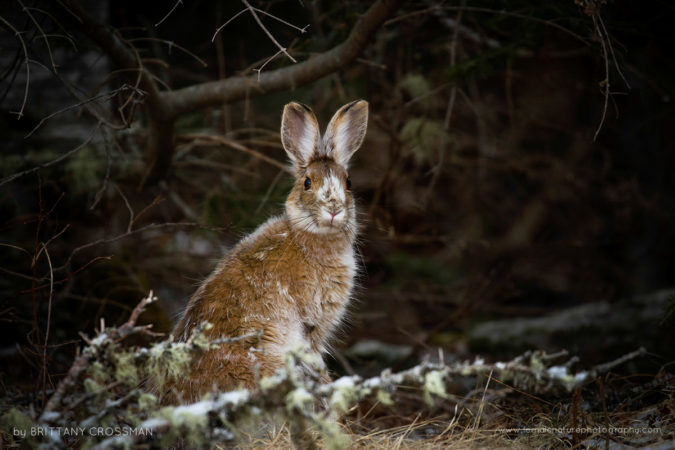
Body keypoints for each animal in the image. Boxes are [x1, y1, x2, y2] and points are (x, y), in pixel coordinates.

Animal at [166, 100, 368, 402]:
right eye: (307, 182)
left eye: (349, 183)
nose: (334, 209)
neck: (310, 237)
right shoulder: (312, 321)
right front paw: (324, 382)